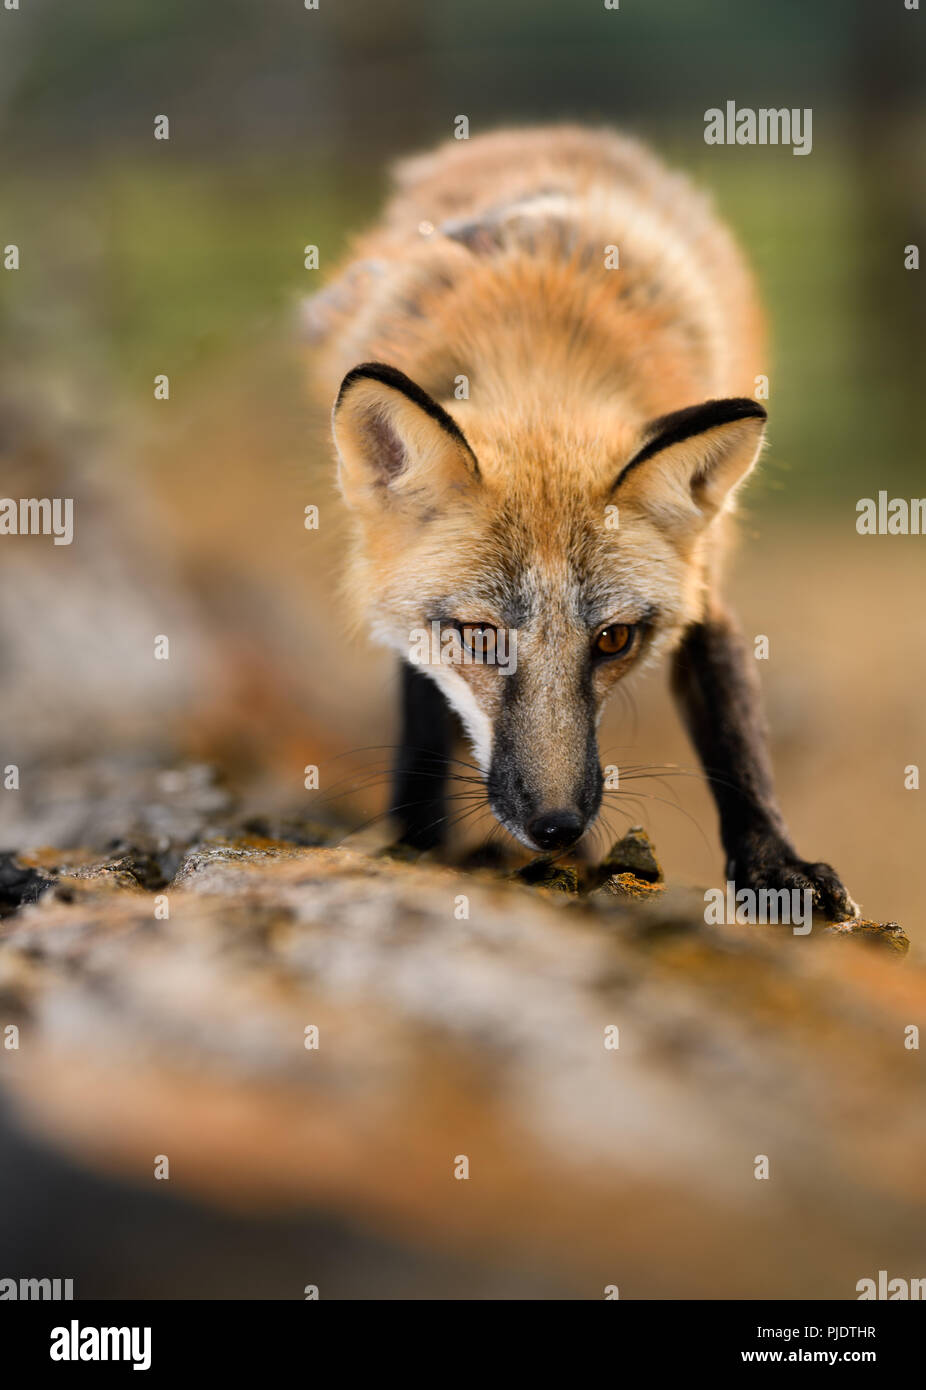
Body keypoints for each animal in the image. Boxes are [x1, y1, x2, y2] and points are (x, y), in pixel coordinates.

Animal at [305, 125, 856, 917]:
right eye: (480, 635)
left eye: (614, 639)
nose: (558, 827)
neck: (538, 352)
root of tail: (542, 131)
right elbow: (422, 714)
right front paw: (417, 837)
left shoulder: (703, 586)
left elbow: (736, 734)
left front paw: (775, 865)